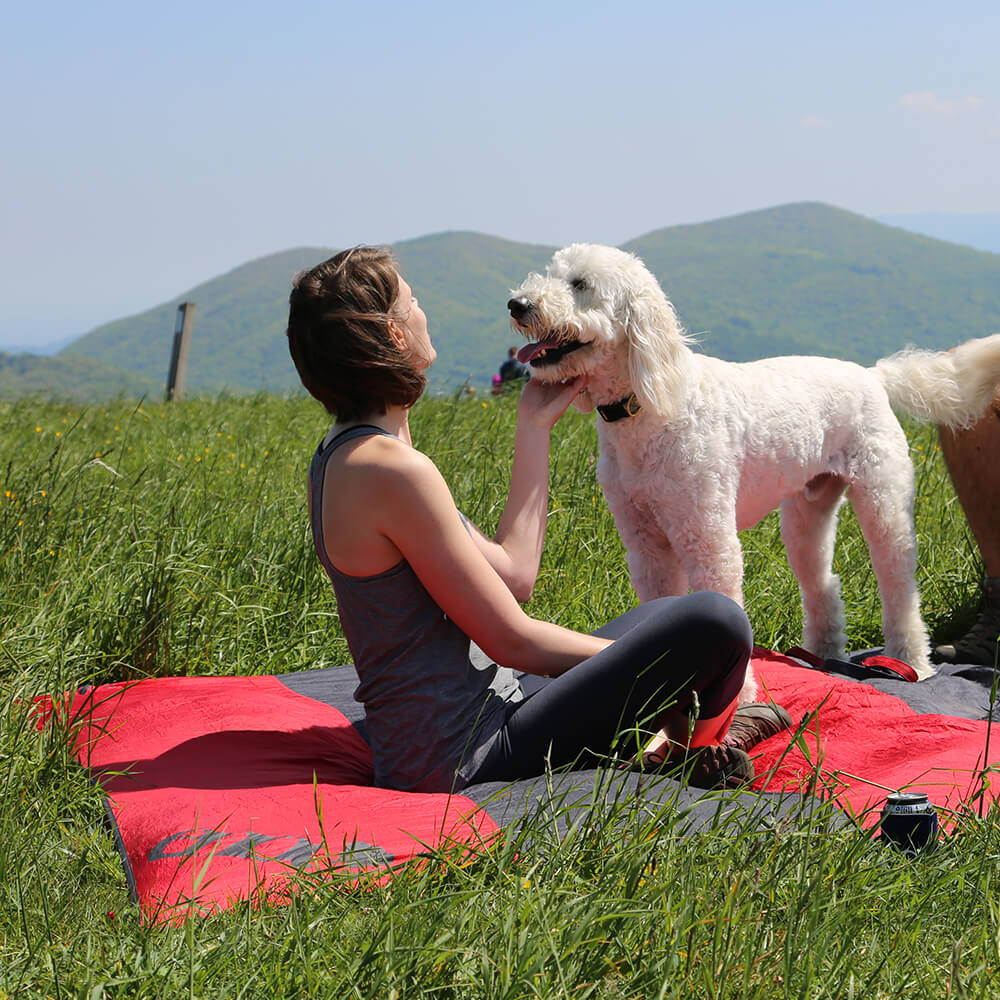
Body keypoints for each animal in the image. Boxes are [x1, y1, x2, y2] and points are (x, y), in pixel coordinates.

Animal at [512, 246, 1000, 692]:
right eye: (551, 273)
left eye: (580, 284)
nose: (518, 304)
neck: (650, 405)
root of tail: (872, 375)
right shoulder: (645, 541)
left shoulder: (708, 535)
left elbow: (724, 597)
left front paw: (739, 694)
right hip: (807, 513)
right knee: (823, 584)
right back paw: (821, 656)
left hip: (883, 499)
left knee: (899, 585)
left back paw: (912, 660)